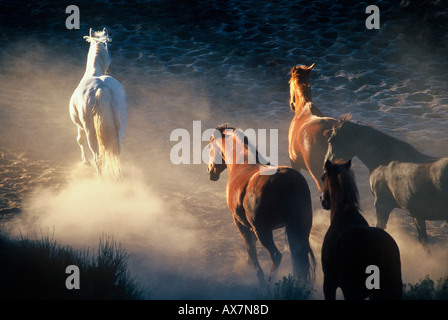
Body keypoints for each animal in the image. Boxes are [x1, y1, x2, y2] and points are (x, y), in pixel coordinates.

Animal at [69, 28, 128, 180]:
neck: (94, 72)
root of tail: (101, 89)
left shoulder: (80, 126)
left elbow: (79, 140)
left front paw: (85, 161)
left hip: (90, 131)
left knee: (98, 158)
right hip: (120, 127)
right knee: (116, 154)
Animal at [206, 124, 316, 284]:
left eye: (210, 147)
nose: (210, 171)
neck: (243, 164)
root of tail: (287, 182)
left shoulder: (240, 222)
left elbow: (250, 248)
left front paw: (258, 274)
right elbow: (252, 244)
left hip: (264, 231)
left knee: (276, 256)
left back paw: (268, 281)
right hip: (300, 229)